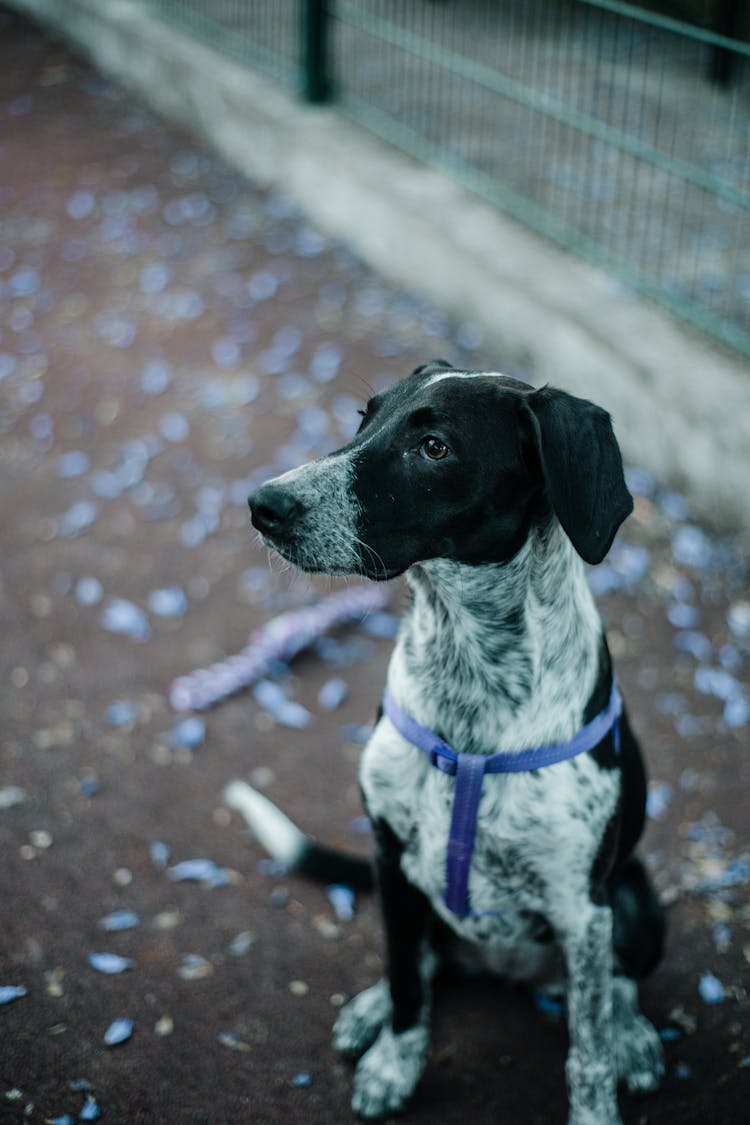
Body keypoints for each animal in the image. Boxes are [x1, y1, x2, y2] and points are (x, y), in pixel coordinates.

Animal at [232, 360, 661, 1125]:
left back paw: (633, 1034)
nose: (264, 504)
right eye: (364, 417)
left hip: (636, 898)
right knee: (422, 966)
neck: (471, 684)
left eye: (433, 447)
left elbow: (587, 1051)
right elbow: (406, 977)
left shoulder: (583, 909)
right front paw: (395, 1059)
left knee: (619, 986)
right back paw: (372, 1009)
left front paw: (598, 1101)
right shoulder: (392, 861)